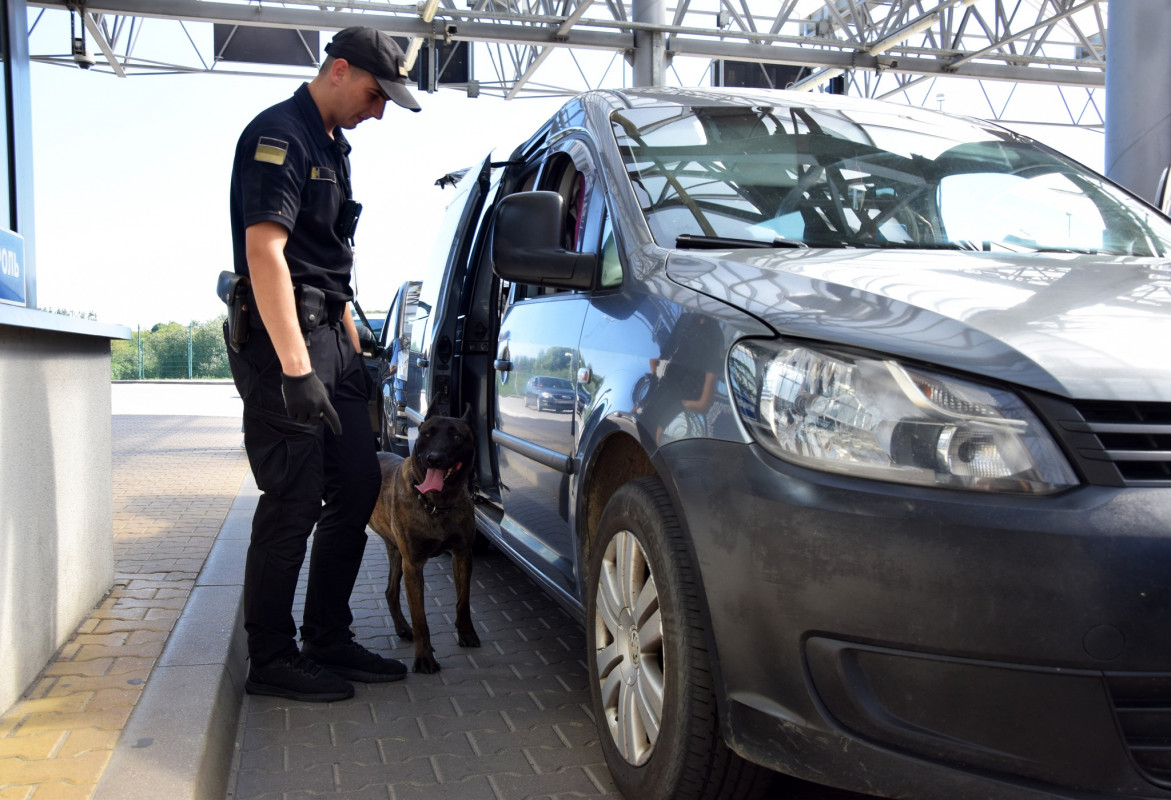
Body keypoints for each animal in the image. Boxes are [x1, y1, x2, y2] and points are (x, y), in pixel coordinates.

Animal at [363, 407, 477, 674]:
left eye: (457, 436)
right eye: (426, 434)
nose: (434, 458)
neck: (437, 505)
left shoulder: (462, 555)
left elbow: (463, 601)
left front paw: (467, 633)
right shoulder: (413, 565)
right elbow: (420, 617)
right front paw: (424, 658)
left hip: (396, 553)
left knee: (390, 591)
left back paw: (403, 628)